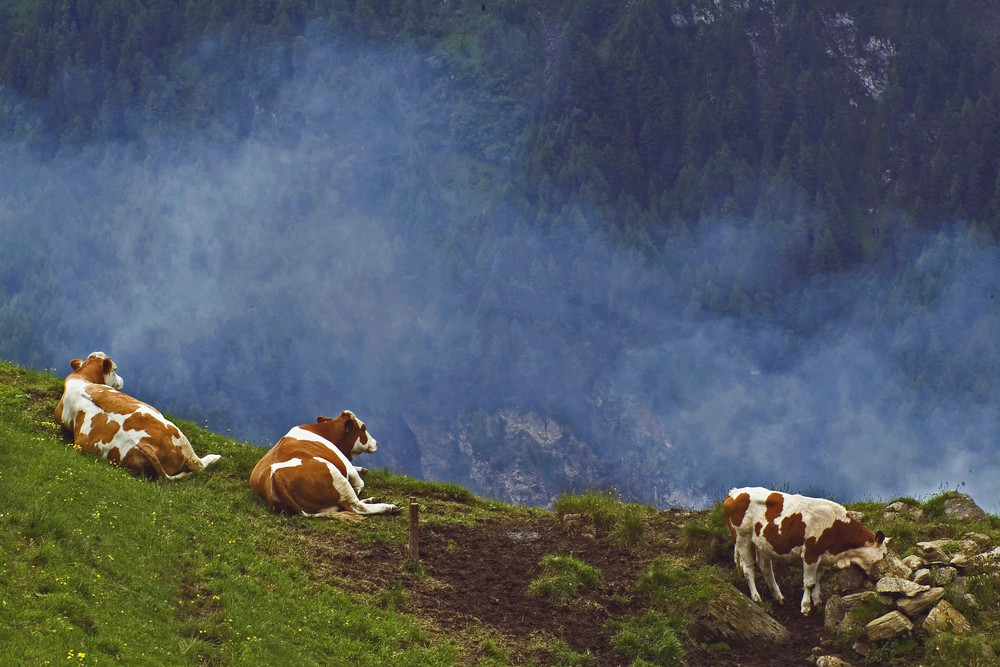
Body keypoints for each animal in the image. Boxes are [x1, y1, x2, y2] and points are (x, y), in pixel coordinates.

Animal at [54, 350, 221, 480]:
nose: (122, 380)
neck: (80, 378)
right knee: (198, 464)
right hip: (179, 435)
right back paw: (214, 457)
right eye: (115, 369)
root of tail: (144, 445)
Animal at [249, 412, 398, 520]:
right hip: (335, 473)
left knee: (346, 505)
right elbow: (360, 482)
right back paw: (388, 507)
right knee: (357, 507)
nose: (376, 442)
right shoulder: (346, 465)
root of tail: (277, 477)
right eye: (363, 428)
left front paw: (363, 469)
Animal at [724, 486, 888, 616]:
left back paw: (778, 596)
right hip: (742, 537)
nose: (879, 578)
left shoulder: (823, 557)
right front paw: (805, 607)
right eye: (885, 555)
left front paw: (817, 600)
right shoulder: (811, 554)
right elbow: (809, 583)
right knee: (748, 568)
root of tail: (735, 492)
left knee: (765, 567)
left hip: (762, 543)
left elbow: (818, 579)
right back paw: (756, 597)